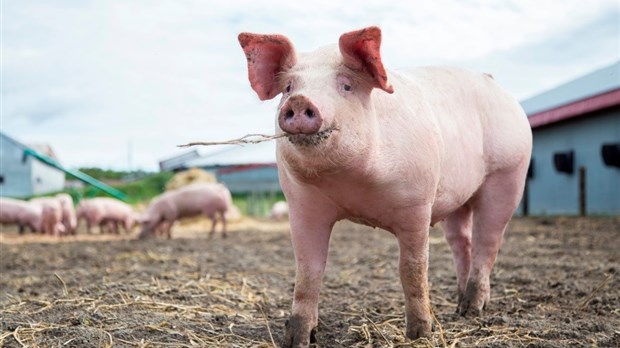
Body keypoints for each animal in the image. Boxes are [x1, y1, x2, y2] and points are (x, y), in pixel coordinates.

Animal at [240, 25, 532, 346]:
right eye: (289, 88)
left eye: (346, 86)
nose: (300, 101)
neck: (351, 185)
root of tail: (496, 85)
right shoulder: (302, 204)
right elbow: (308, 271)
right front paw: (298, 339)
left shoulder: (417, 202)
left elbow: (413, 269)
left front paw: (419, 334)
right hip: (459, 196)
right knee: (461, 241)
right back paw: (458, 303)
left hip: (508, 173)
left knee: (487, 241)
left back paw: (472, 310)